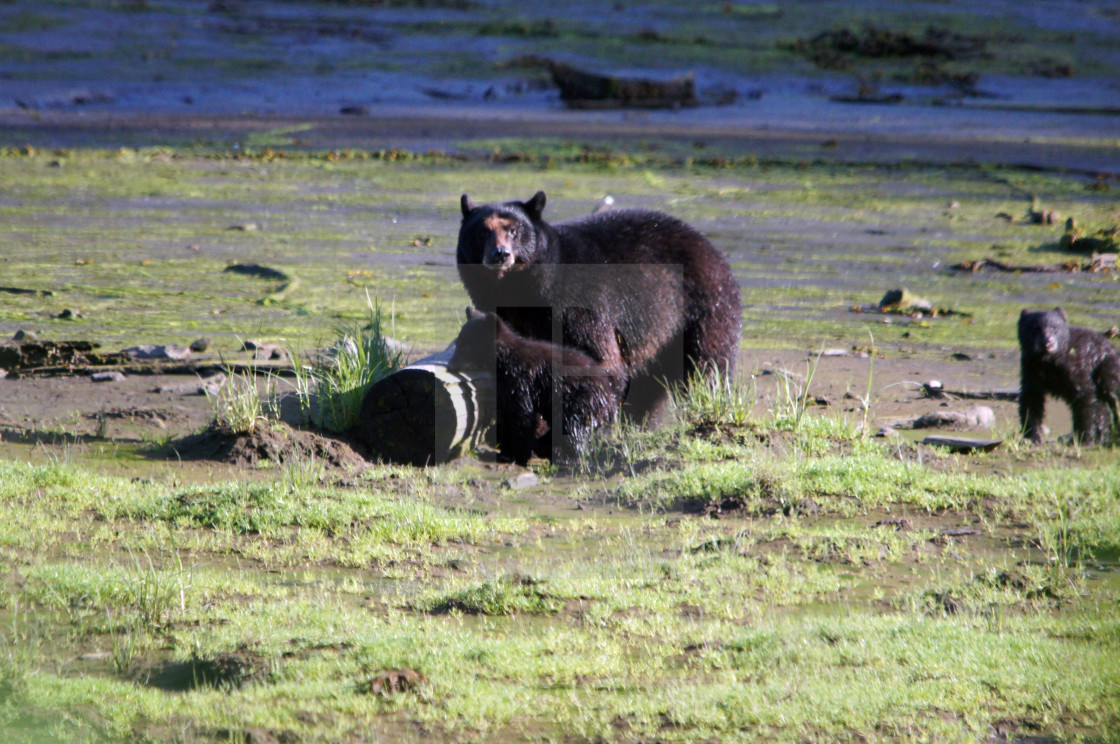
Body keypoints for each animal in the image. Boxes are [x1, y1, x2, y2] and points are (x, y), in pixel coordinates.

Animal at [448, 304, 631, 461]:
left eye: (467, 346)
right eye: (458, 342)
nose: (451, 365)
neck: (504, 360)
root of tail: (611, 399)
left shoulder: (520, 380)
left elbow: (522, 415)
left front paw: (517, 454)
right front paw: (506, 451)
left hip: (580, 399)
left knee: (575, 427)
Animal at [454, 189, 743, 421]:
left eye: (513, 231)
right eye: (483, 231)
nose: (500, 254)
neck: (518, 289)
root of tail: (711, 247)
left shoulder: (577, 301)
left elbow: (598, 355)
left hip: (703, 304)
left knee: (707, 362)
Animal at [1021, 307, 1115, 443]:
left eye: (1054, 328)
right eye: (1035, 328)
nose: (1047, 341)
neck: (1049, 362)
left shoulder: (1079, 369)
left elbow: (1087, 398)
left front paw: (1086, 438)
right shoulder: (1030, 369)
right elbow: (1031, 399)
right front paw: (1032, 437)